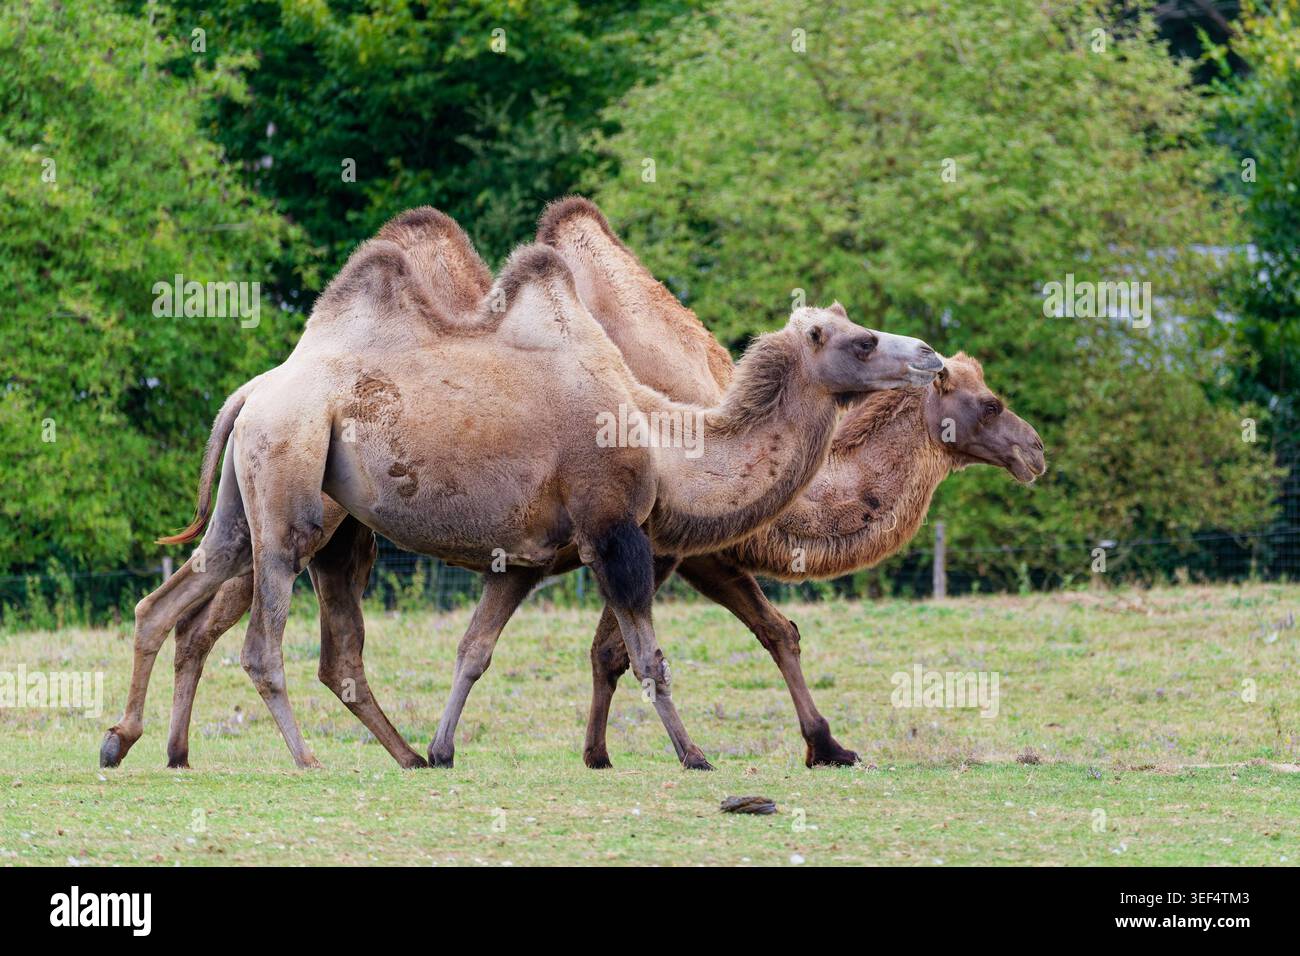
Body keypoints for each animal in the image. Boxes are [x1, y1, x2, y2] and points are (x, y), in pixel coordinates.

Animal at [100, 206, 944, 771]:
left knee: (174, 597)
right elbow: (648, 655)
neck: (661, 440)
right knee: (262, 639)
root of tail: (251, 391)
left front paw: (442, 750)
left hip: (255, 501)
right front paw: (694, 754)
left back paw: (128, 740)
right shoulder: (614, 532)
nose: (931, 356)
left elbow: (475, 649)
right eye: (861, 340)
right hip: (291, 490)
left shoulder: (531, 556)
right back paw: (304, 757)